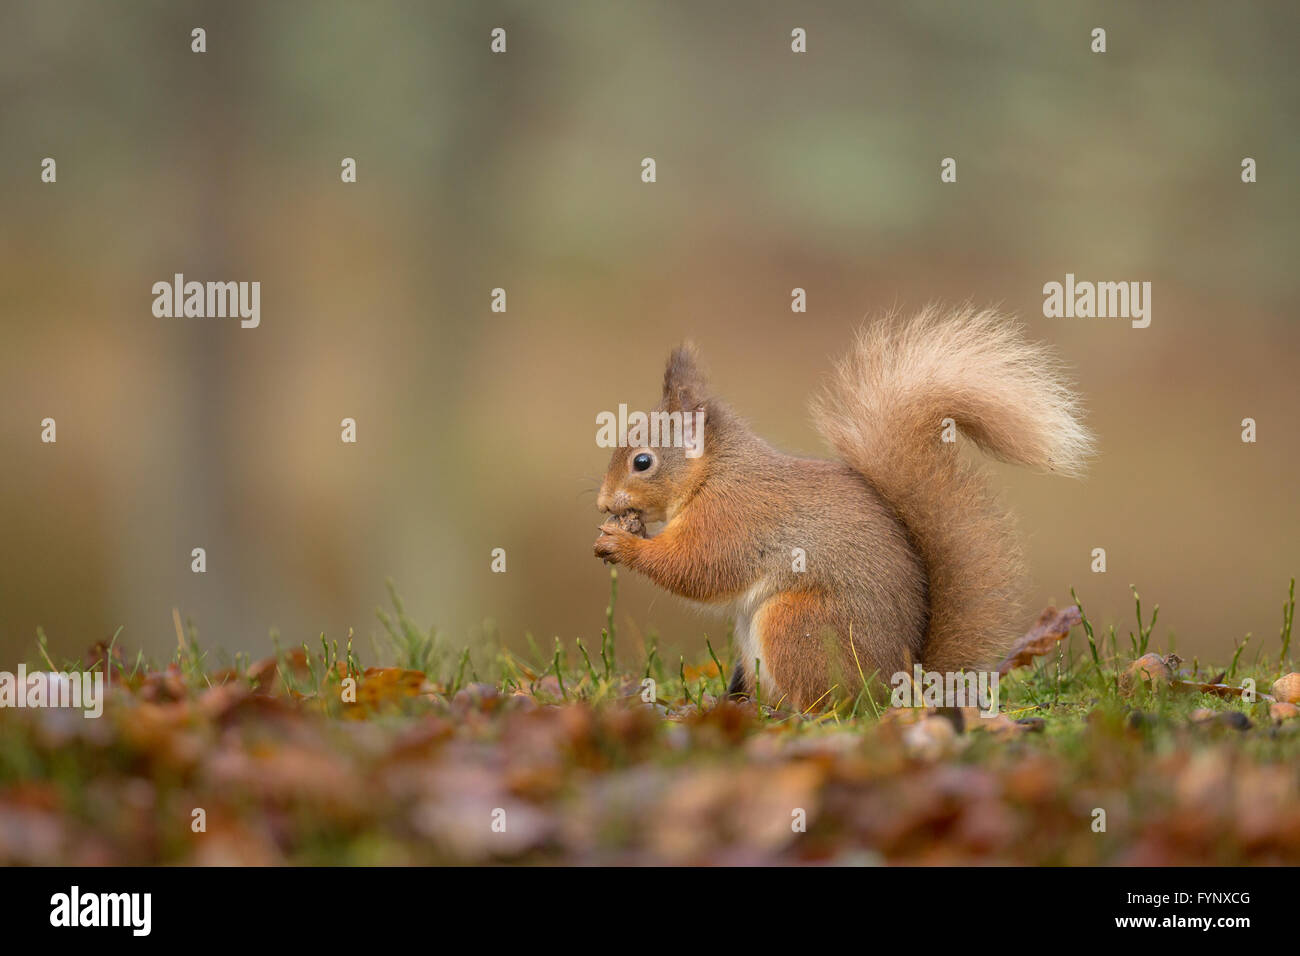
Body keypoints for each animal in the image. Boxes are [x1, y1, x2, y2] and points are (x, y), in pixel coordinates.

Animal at [593, 306, 1093, 712]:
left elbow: (697, 567)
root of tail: (898, 683)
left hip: (799, 626)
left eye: (642, 462)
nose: (602, 502)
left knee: (827, 701)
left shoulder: (734, 517)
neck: (712, 475)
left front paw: (623, 543)